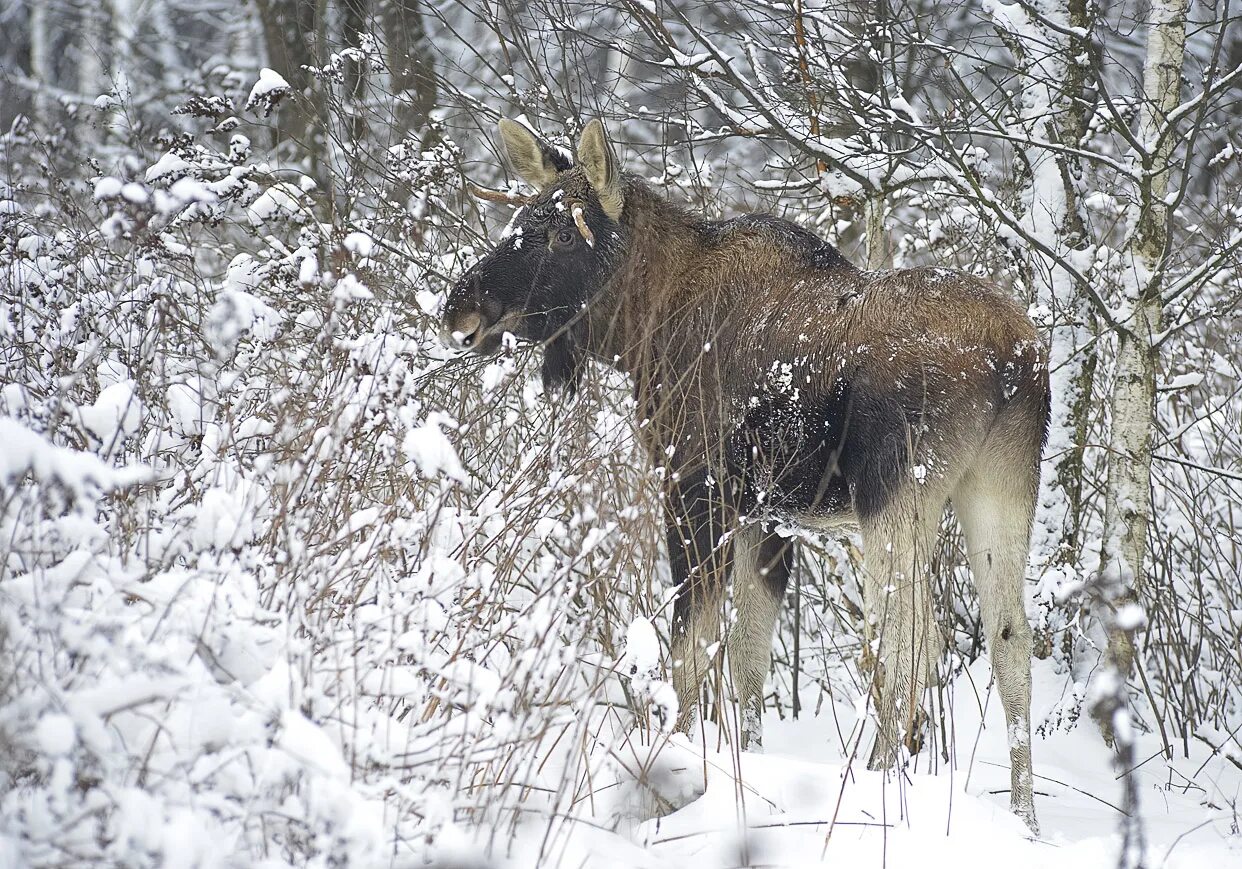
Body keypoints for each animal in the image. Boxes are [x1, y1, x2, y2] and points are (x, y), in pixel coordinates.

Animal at [447, 115, 1048, 829]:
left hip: (900, 493)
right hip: (999, 487)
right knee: (1010, 644)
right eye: (516, 220)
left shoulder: (695, 487)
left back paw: (882, 789)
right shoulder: (772, 515)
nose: (460, 310)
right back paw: (1025, 821)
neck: (640, 331)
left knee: (911, 647)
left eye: (564, 231)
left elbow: (690, 651)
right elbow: (749, 660)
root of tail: (1013, 360)